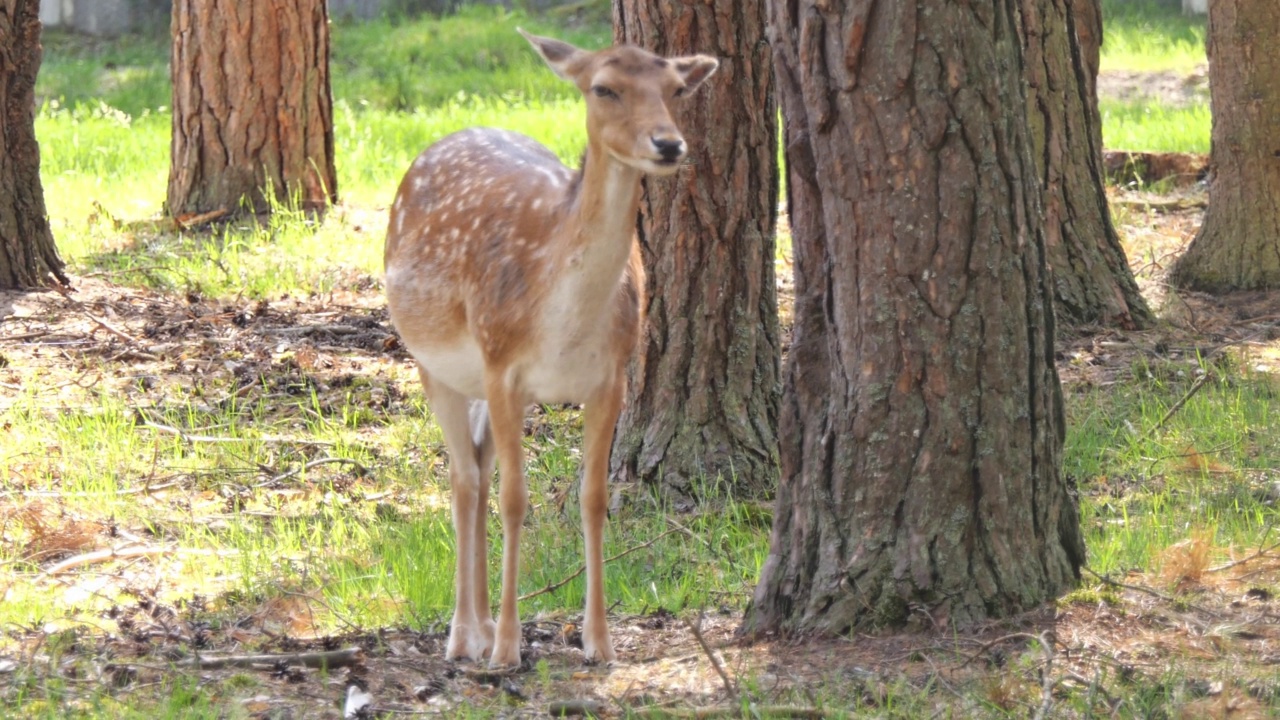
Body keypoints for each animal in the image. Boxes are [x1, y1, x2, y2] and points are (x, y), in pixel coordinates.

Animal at [378, 28, 721, 666]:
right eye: (604, 87)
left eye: (676, 89)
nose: (669, 144)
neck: (566, 320)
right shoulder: (502, 364)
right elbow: (516, 499)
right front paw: (509, 649)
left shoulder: (610, 378)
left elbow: (593, 497)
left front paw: (599, 642)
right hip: (434, 360)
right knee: (464, 478)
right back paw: (465, 636)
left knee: (477, 468)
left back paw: (481, 625)